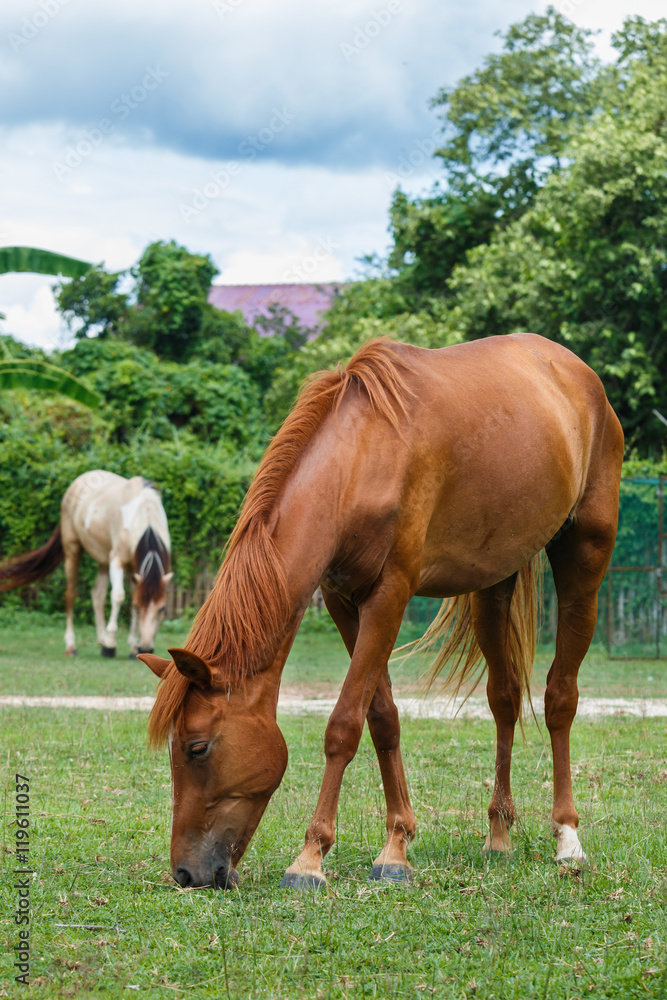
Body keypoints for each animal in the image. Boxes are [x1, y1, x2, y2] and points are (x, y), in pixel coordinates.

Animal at [0, 470, 172, 656]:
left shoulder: (134, 568)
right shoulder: (117, 561)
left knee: (97, 595)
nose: (146, 648)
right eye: (139, 607)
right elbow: (118, 596)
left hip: (103, 559)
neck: (143, 514)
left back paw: (101, 640)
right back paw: (72, 645)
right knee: (70, 594)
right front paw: (110, 644)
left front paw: (132, 647)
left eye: (162, 609)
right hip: (73, 550)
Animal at [141, 336, 628, 892]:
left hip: (584, 563)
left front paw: (310, 857)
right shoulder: (342, 600)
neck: (362, 458)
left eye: (197, 748)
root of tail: (576, 371)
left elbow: (343, 725)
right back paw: (498, 835)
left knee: (559, 698)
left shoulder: (390, 595)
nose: (187, 873)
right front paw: (397, 846)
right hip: (492, 585)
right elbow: (382, 718)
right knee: (503, 698)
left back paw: (568, 839)